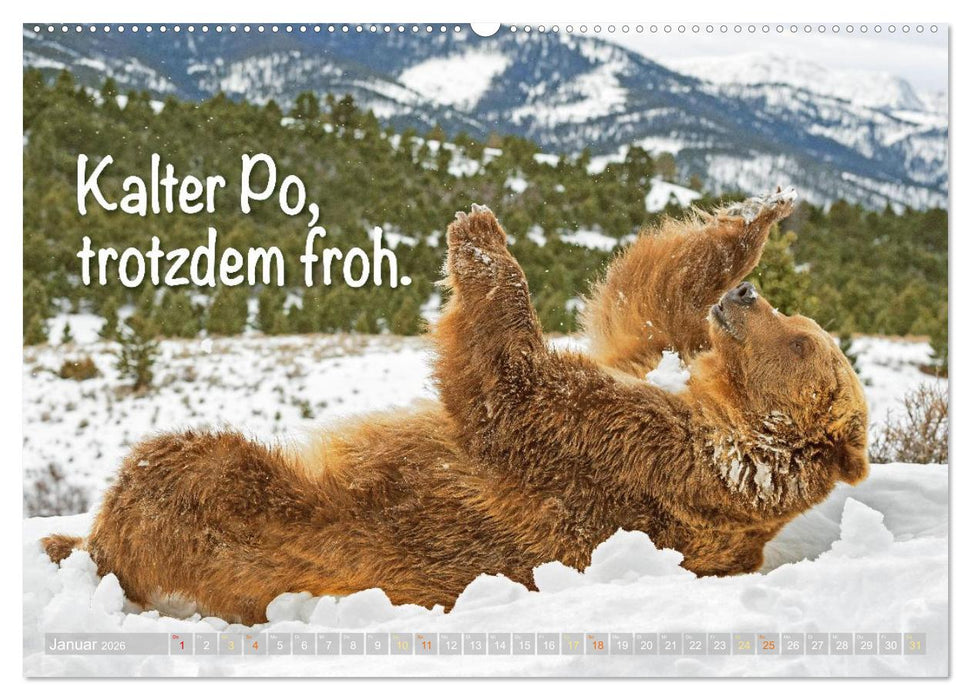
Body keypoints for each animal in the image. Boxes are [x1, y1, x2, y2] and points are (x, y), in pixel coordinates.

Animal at [41, 191, 869, 625]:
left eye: (803, 342)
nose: (746, 297)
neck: (719, 418)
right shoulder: (651, 378)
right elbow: (639, 310)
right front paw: (756, 216)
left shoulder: (639, 463)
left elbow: (512, 391)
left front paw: (480, 235)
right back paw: (62, 539)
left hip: (282, 528)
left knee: (187, 470)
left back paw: (94, 542)